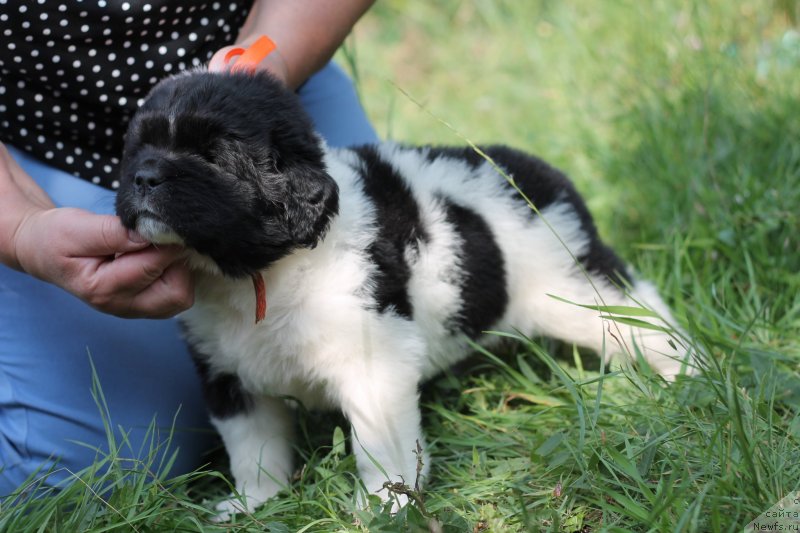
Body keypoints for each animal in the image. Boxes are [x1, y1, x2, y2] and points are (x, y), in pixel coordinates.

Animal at [114, 68, 692, 512]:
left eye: (212, 155)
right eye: (139, 148)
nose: (143, 178)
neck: (259, 270)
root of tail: (540, 173)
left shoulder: (372, 358)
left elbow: (378, 441)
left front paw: (385, 504)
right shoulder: (228, 372)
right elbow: (253, 446)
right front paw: (254, 503)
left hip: (572, 281)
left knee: (639, 311)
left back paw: (686, 372)